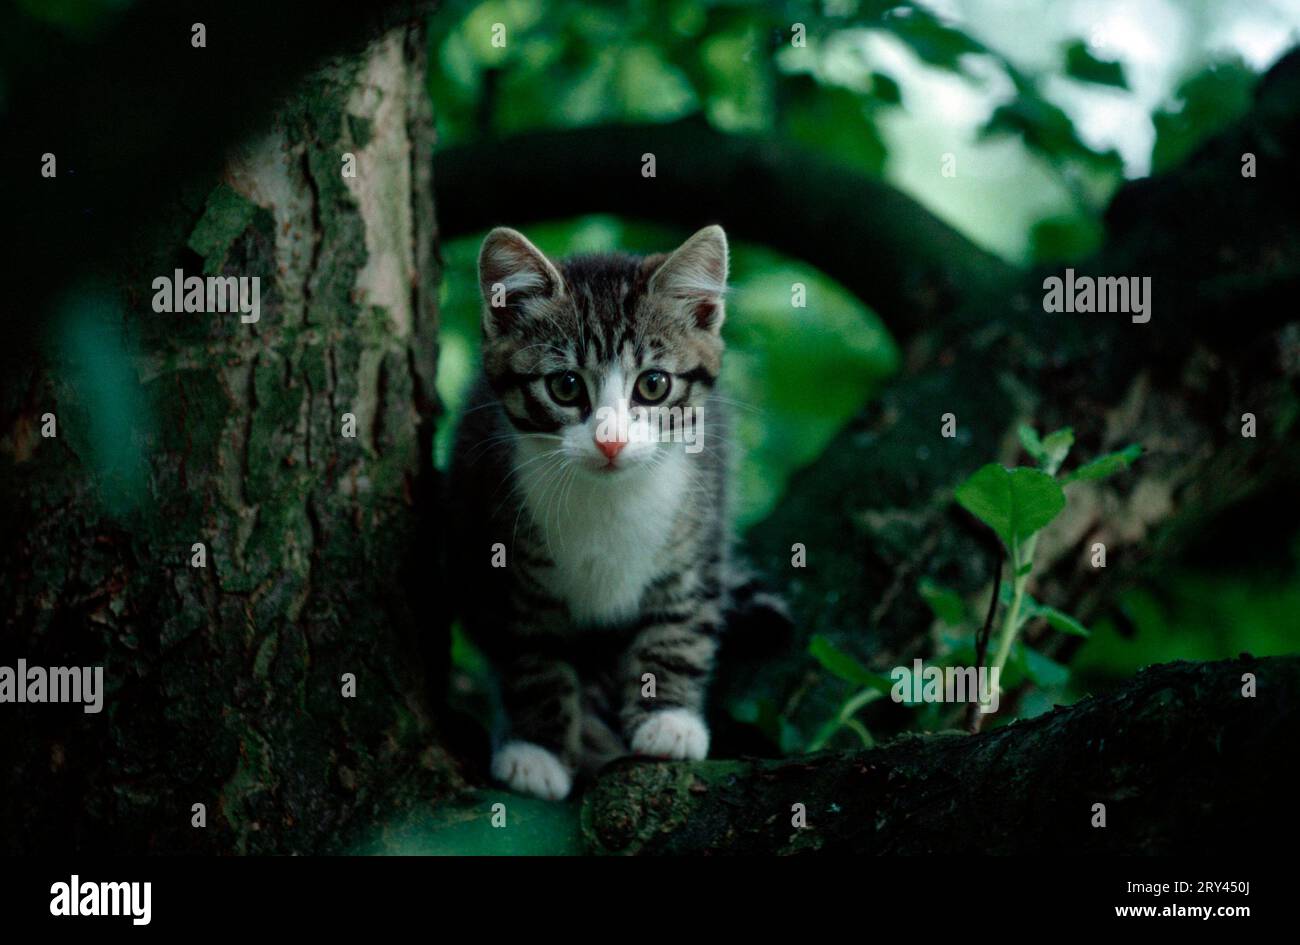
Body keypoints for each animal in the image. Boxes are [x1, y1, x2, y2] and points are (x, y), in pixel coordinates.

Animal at [452, 224, 743, 800]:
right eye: (565, 386)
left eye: (653, 384)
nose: (611, 441)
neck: (610, 496)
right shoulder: (503, 559)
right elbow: (531, 657)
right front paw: (536, 749)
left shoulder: (702, 525)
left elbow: (681, 622)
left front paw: (669, 720)